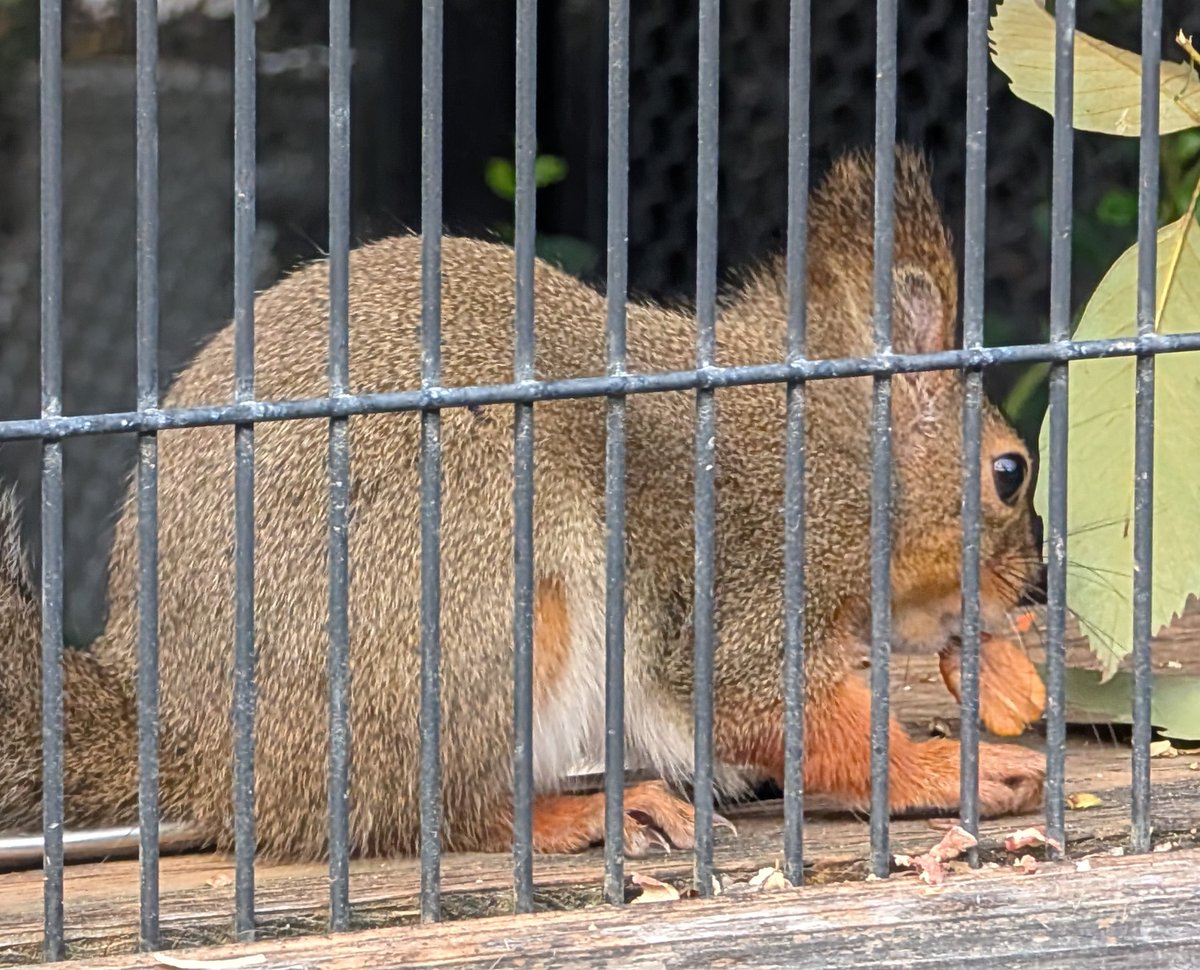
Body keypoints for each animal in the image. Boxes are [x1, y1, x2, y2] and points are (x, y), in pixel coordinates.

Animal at [0, 145, 1047, 861]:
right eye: (1010, 471)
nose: (1031, 586)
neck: (834, 449)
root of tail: (196, 747)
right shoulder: (750, 571)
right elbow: (776, 708)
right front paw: (945, 769)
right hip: (482, 616)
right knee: (436, 816)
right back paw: (589, 811)